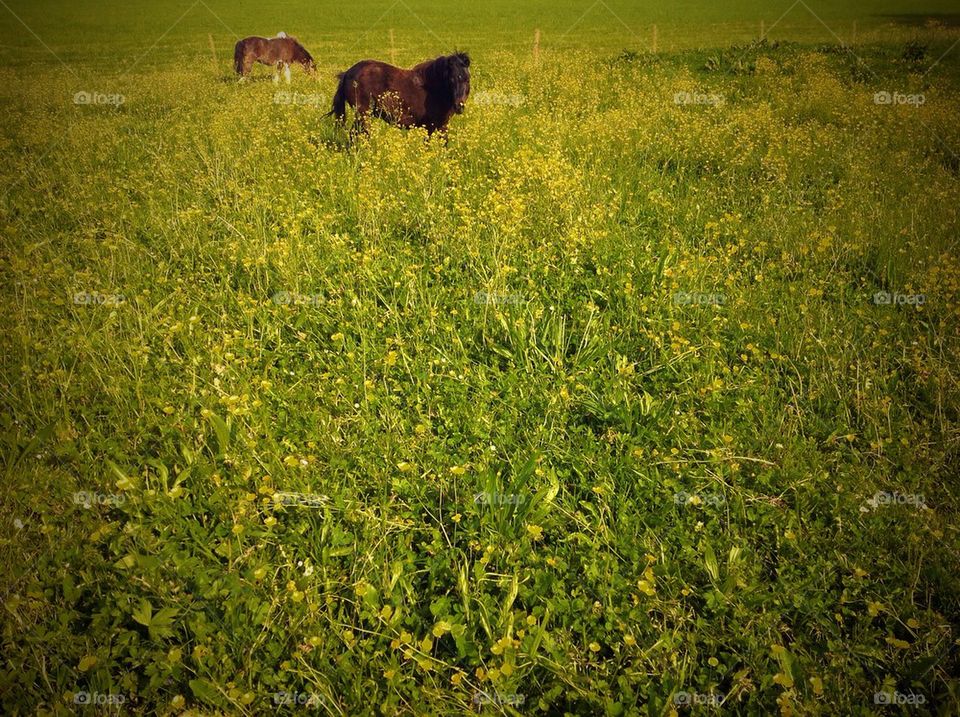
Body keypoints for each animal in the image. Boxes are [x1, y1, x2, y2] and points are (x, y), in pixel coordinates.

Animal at [330, 52, 470, 137]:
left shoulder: (440, 125)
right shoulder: (433, 126)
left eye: (467, 79)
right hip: (363, 115)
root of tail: (347, 73)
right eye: (451, 80)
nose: (459, 106)